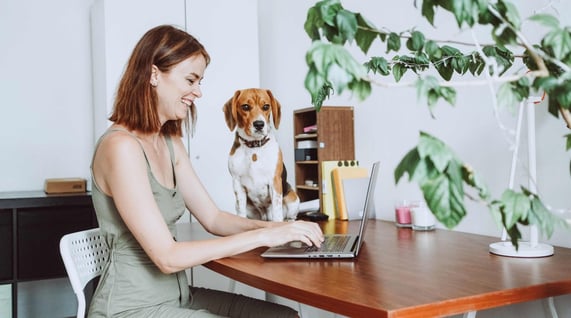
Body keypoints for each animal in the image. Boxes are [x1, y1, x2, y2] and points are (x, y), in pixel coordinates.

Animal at [222, 87, 300, 221]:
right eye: (245, 107)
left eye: (266, 106)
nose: (259, 124)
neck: (254, 148)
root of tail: (265, 217)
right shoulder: (237, 184)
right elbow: (241, 211)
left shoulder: (275, 181)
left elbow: (277, 210)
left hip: (293, 199)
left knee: (288, 217)